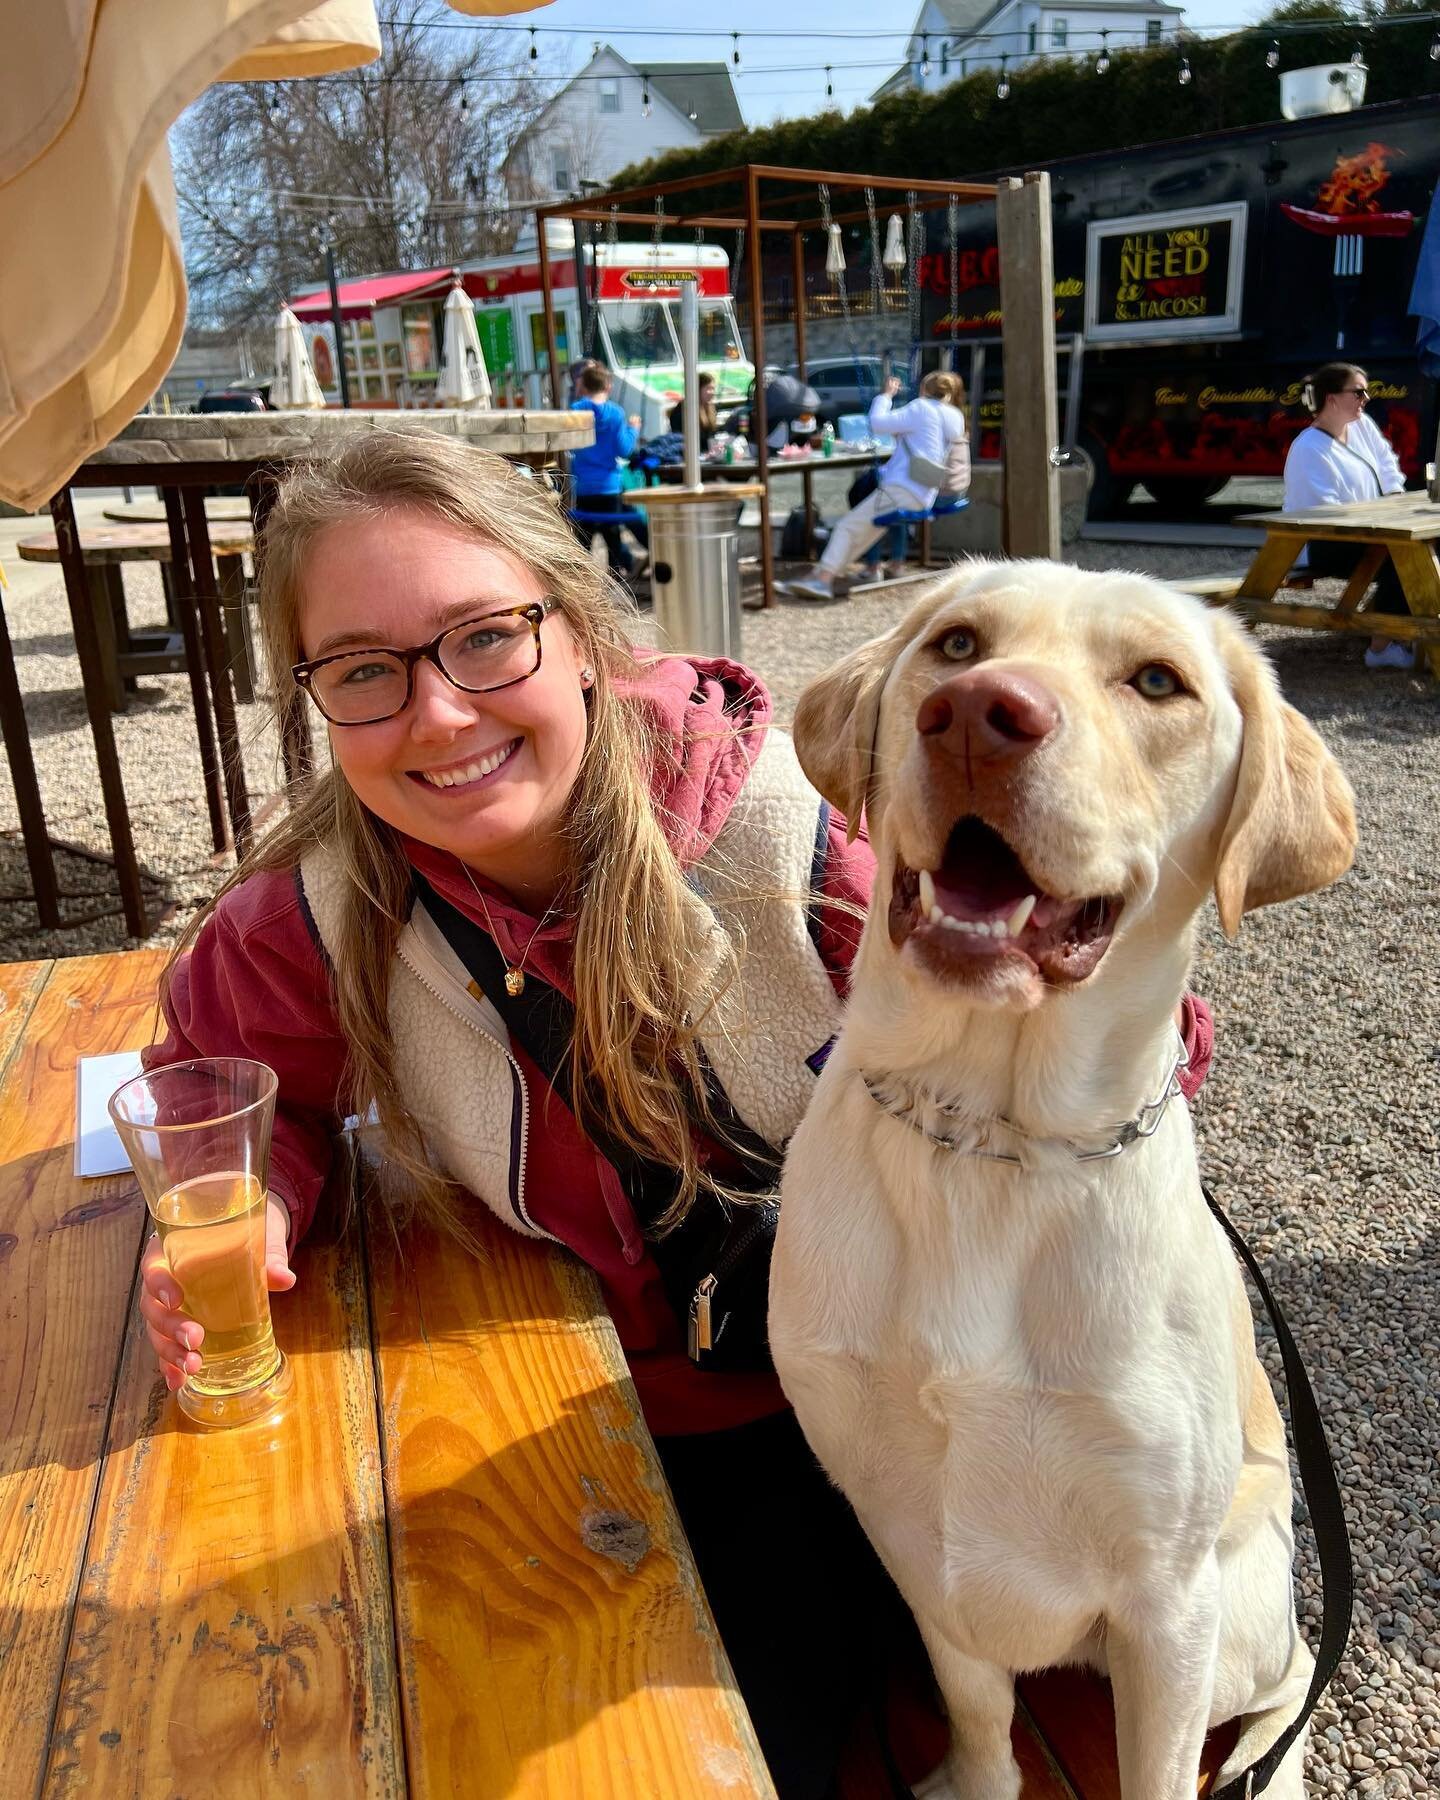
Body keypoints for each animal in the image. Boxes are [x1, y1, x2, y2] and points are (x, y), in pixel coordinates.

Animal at [770, 561, 1353, 1800]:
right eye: (956, 643)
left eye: (1158, 682)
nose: (977, 714)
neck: (990, 1137)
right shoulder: (900, 1523)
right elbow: (976, 1705)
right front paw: (974, 1779)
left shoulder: (1165, 1601)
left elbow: (1161, 1771)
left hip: (1243, 1608)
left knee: (1286, 1681)